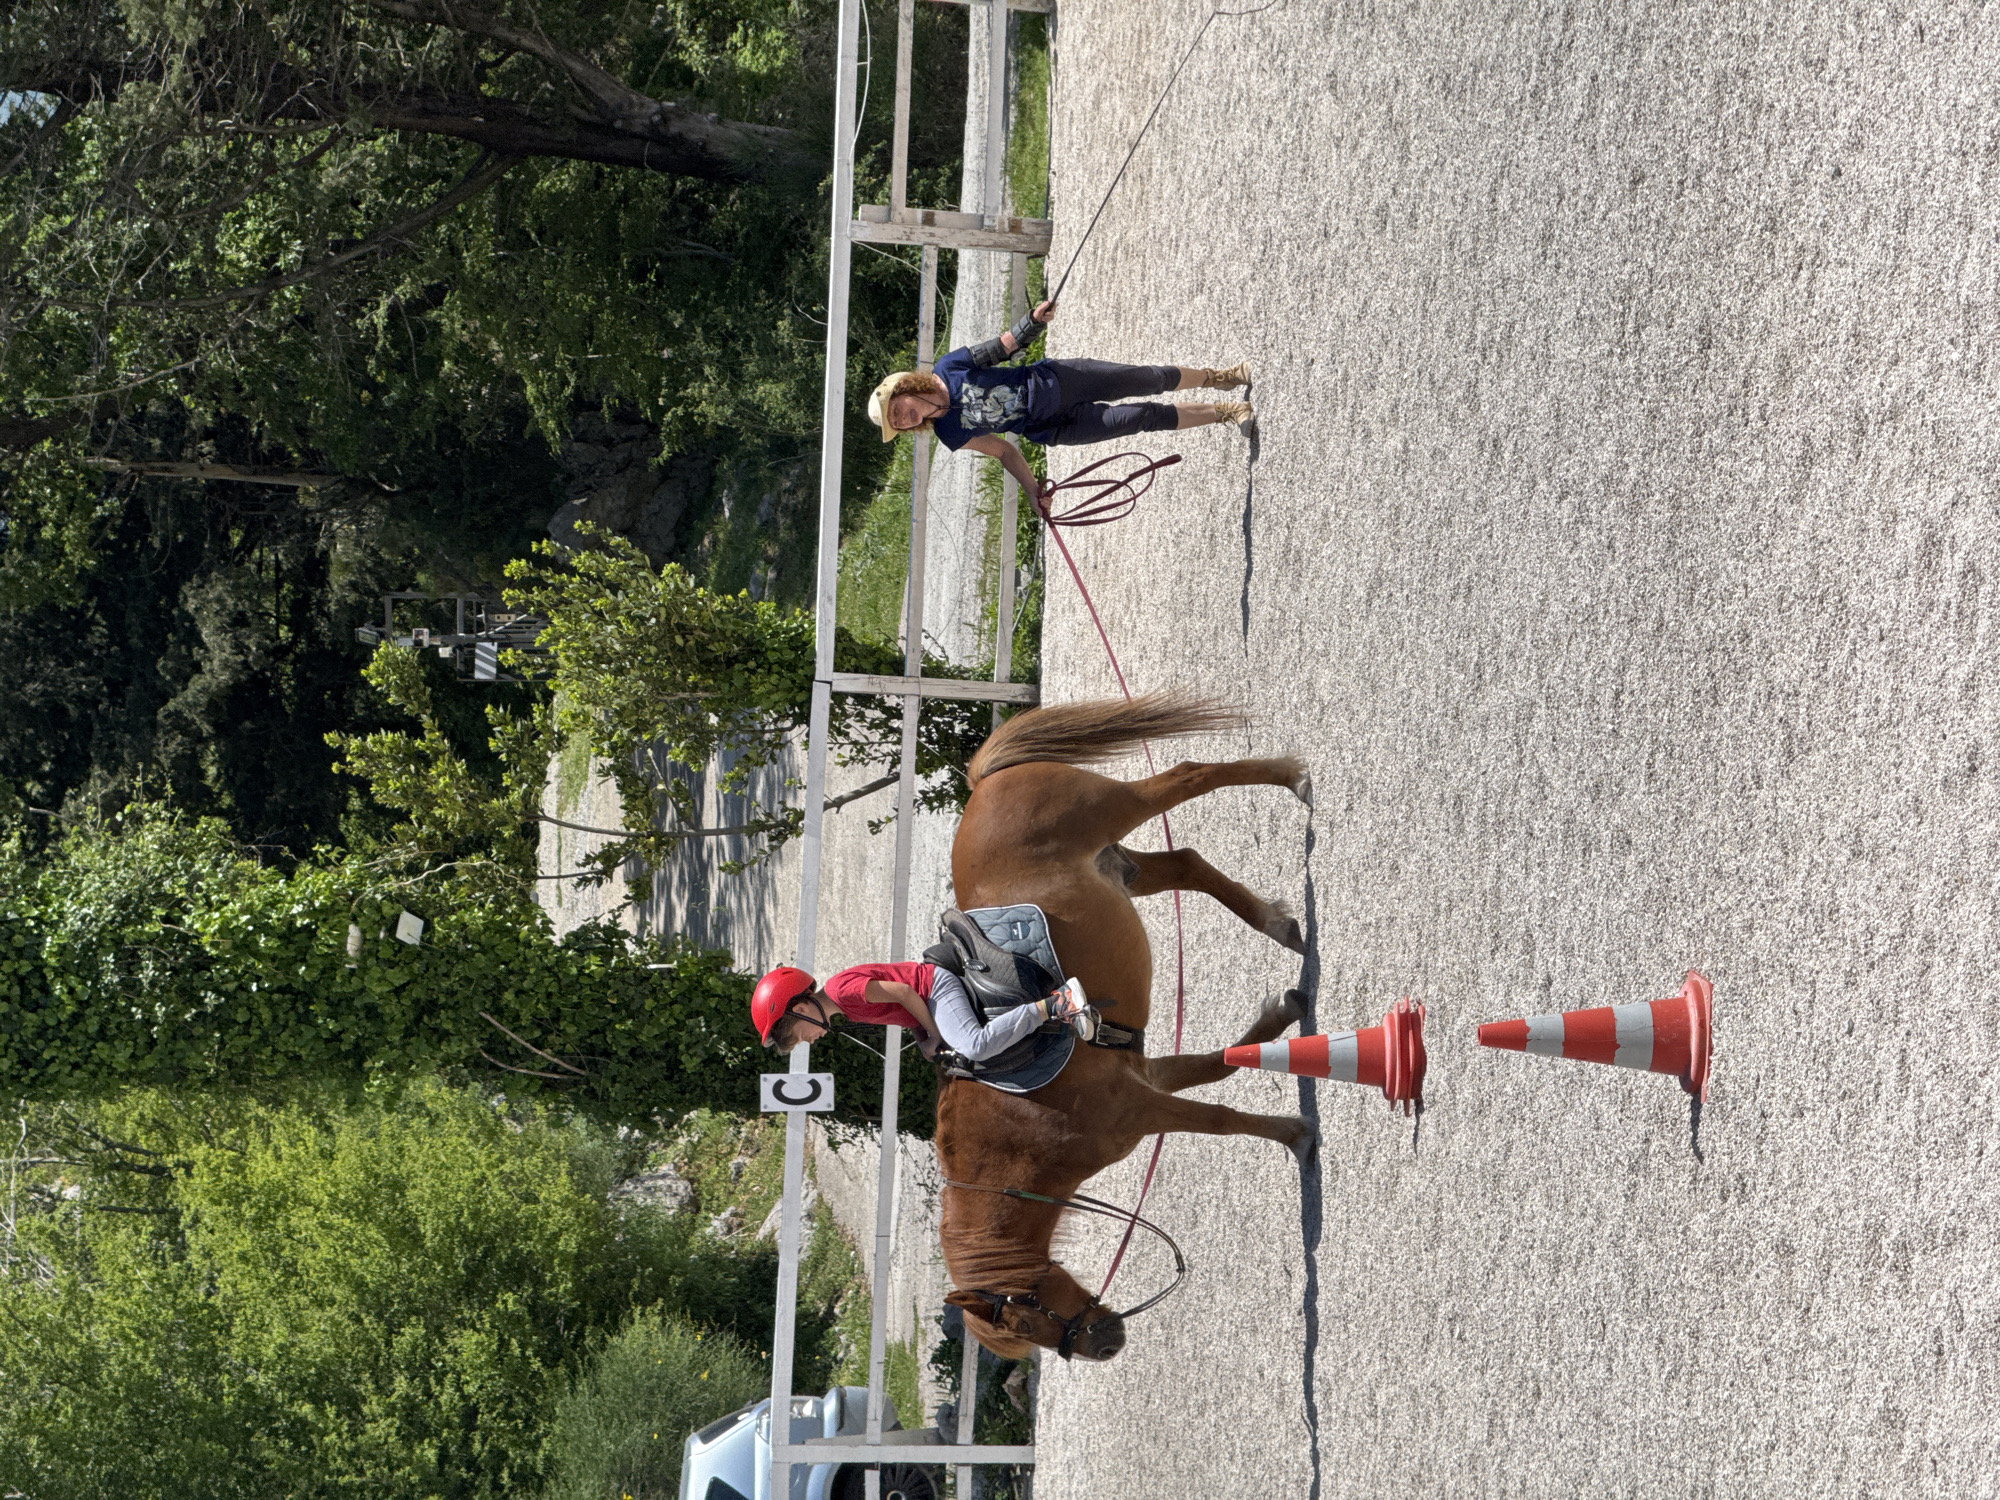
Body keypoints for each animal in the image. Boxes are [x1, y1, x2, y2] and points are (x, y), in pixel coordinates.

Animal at [937, 694, 1316, 1362]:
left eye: (1024, 1309)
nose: (1105, 1342)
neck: (1024, 1127)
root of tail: (983, 785)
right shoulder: (1145, 1074)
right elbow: (1214, 1065)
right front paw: (1284, 1017)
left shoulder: (1143, 1107)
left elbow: (1220, 1118)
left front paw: (1296, 1135)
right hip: (1122, 867)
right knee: (1187, 863)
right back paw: (1279, 925)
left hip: (1118, 810)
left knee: (1189, 777)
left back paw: (1290, 777)